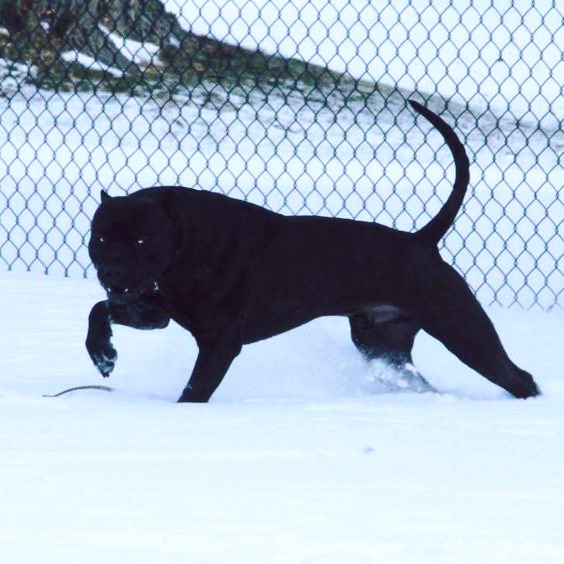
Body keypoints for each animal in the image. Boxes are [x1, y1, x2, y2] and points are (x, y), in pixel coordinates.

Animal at [86, 100, 540, 400]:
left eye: (142, 240)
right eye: (102, 238)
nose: (112, 273)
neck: (186, 243)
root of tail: (421, 239)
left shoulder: (219, 341)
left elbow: (195, 389)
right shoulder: (155, 311)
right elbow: (98, 308)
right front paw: (103, 353)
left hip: (462, 329)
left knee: (518, 376)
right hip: (381, 344)